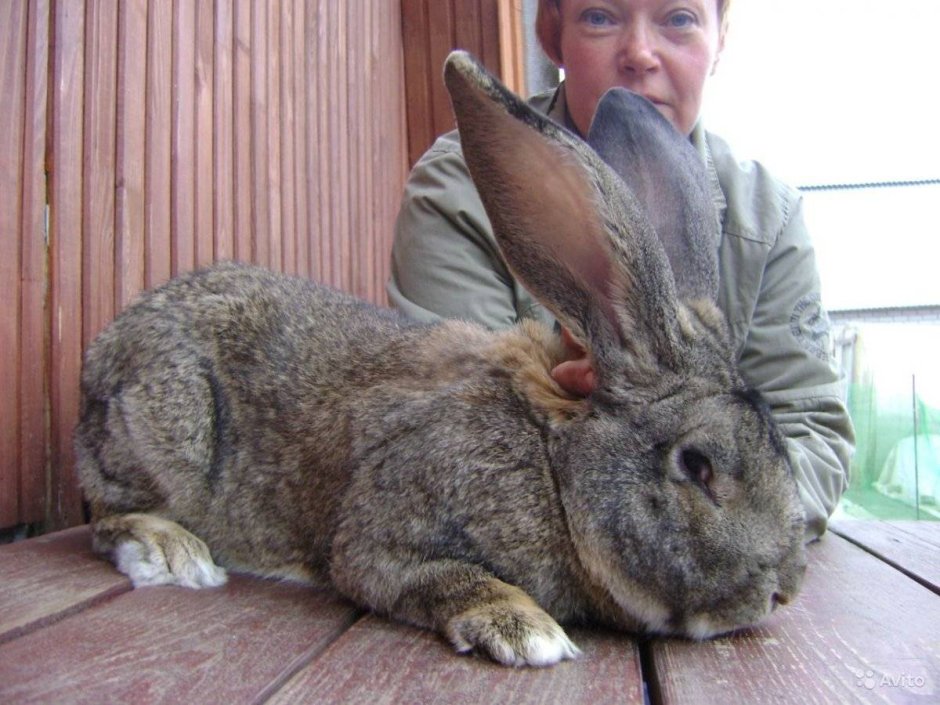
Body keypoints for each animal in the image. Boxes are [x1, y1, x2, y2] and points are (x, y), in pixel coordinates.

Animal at [75, 50, 806, 668]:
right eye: (698, 465)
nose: (785, 590)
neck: (555, 464)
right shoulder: (383, 535)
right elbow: (424, 574)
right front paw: (525, 628)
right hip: (169, 428)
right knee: (105, 512)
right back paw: (170, 551)